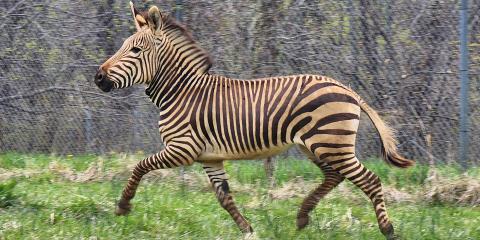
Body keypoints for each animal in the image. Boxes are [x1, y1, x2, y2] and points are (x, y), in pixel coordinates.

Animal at [94, 3, 412, 238]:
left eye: (135, 50)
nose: (98, 78)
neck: (182, 92)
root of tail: (347, 89)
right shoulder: (210, 158)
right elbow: (224, 197)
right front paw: (247, 229)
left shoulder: (183, 150)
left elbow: (139, 166)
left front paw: (123, 206)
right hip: (316, 146)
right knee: (334, 177)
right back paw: (302, 218)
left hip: (331, 145)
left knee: (369, 179)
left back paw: (388, 229)